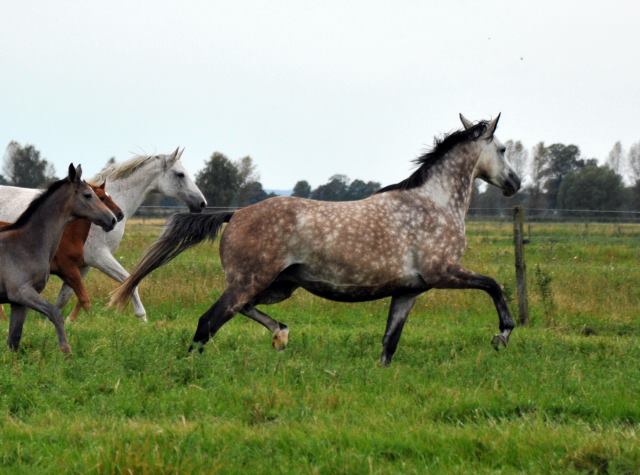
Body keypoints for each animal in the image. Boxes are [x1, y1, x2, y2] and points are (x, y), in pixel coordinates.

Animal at [0, 148, 205, 324]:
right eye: (180, 174)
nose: (202, 203)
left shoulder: (82, 265)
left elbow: (66, 296)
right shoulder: (99, 257)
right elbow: (129, 281)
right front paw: (143, 319)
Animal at [0, 165, 116, 354]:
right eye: (88, 195)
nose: (112, 219)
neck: (25, 244)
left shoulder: (18, 303)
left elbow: (14, 339)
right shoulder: (22, 292)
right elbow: (55, 313)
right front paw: (66, 351)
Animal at [111, 114, 520, 364]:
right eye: (502, 149)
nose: (515, 183)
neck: (432, 203)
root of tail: (236, 214)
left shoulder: (408, 291)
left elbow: (389, 344)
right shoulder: (444, 272)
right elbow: (494, 285)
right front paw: (502, 335)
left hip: (278, 286)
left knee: (242, 311)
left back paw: (281, 335)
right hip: (251, 282)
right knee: (208, 323)